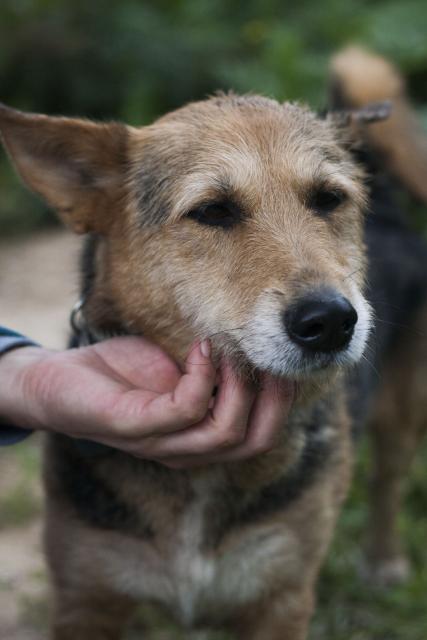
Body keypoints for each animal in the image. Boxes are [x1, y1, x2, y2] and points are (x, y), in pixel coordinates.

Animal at [0, 47, 427, 636]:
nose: (331, 321)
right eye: (212, 211)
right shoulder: (84, 599)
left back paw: (383, 559)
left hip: (404, 409)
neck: (201, 477)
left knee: (388, 478)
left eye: (328, 199)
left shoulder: (281, 599)